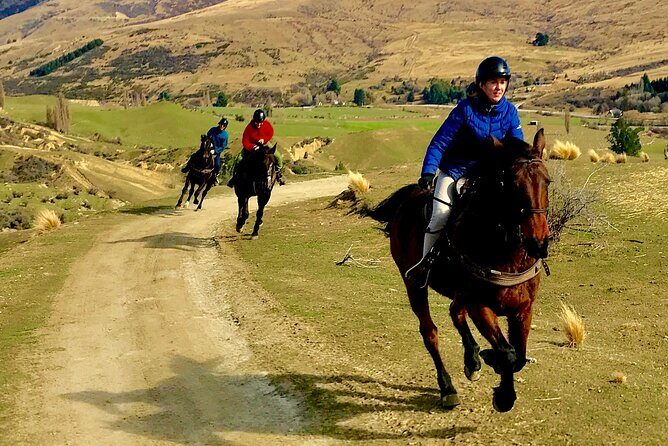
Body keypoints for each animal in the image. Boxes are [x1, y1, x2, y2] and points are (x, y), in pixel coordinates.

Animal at [367, 129, 551, 412]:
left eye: (547, 182)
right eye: (511, 185)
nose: (538, 243)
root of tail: (408, 199)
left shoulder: (523, 309)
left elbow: (518, 356)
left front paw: (491, 369)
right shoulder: (480, 306)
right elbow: (507, 354)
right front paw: (502, 391)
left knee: (455, 312)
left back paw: (472, 359)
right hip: (414, 286)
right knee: (430, 332)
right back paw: (448, 388)